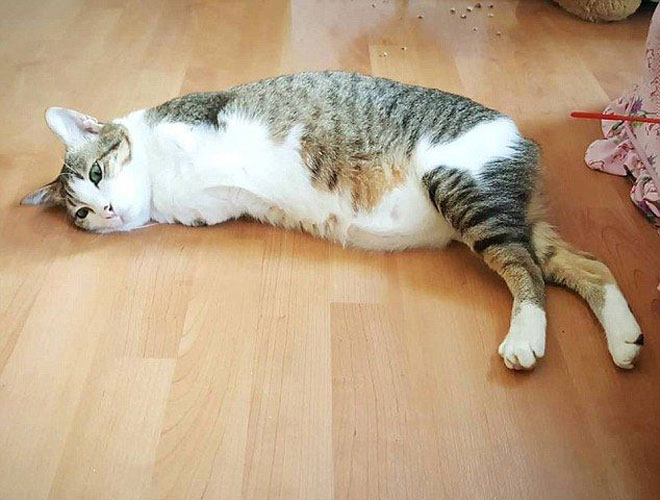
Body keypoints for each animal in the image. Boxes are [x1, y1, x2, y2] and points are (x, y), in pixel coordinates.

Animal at [22, 71, 644, 371]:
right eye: (81, 211)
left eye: (98, 172)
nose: (104, 210)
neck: (160, 180)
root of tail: (525, 139)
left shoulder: (198, 121)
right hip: (505, 211)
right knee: (589, 265)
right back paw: (624, 340)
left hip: (461, 188)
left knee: (527, 272)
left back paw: (525, 338)